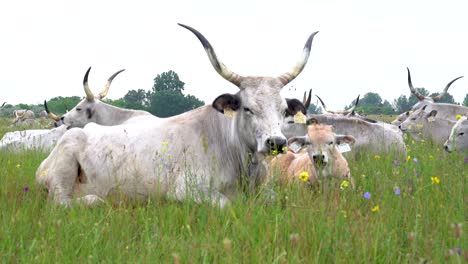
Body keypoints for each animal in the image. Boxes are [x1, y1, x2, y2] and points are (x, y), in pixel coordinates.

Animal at [36, 23, 320, 207]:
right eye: (247, 107)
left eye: (283, 110)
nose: (277, 142)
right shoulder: (187, 190)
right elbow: (227, 204)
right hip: (63, 171)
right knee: (64, 201)